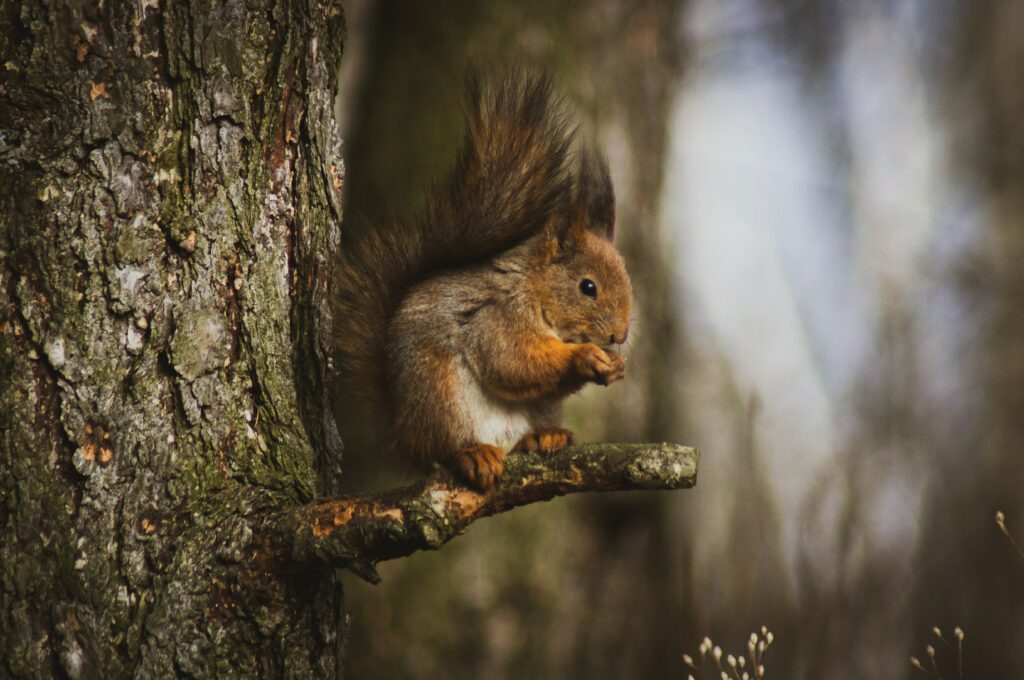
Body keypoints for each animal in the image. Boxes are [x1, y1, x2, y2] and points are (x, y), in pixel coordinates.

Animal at [333, 69, 632, 491]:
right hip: (439, 393)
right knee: (445, 448)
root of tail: (406, 435)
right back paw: (473, 453)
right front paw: (584, 356)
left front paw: (616, 366)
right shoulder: (496, 317)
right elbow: (511, 361)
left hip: (537, 407)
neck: (535, 289)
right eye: (588, 287)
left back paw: (544, 436)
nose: (619, 336)